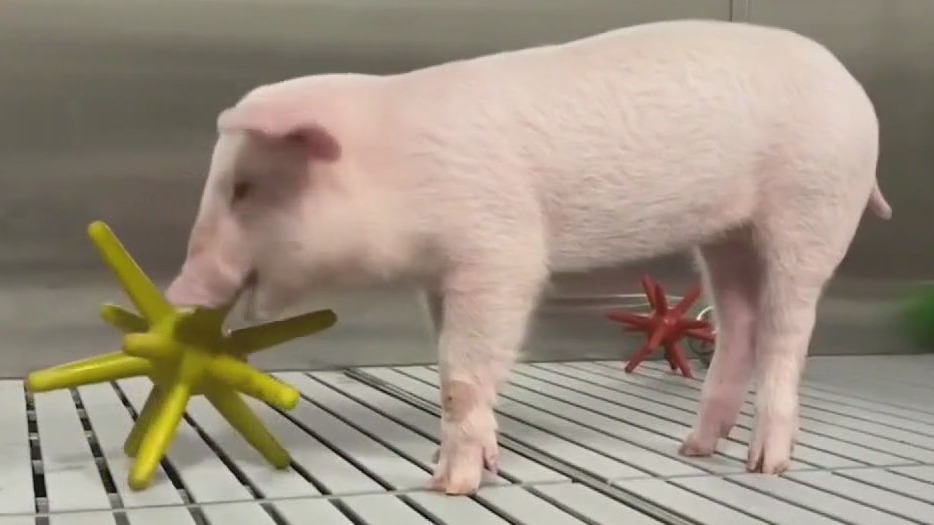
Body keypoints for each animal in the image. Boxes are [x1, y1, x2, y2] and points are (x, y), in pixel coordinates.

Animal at [165, 18, 892, 495]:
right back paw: (693, 448)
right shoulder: (441, 275)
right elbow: (461, 368)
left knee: (788, 326)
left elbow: (463, 372)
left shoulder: (498, 249)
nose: (176, 291)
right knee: (739, 324)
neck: (400, 170)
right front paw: (486, 465)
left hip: (811, 207)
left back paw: (764, 465)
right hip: (725, 232)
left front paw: (449, 485)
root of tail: (853, 86)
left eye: (244, 188)